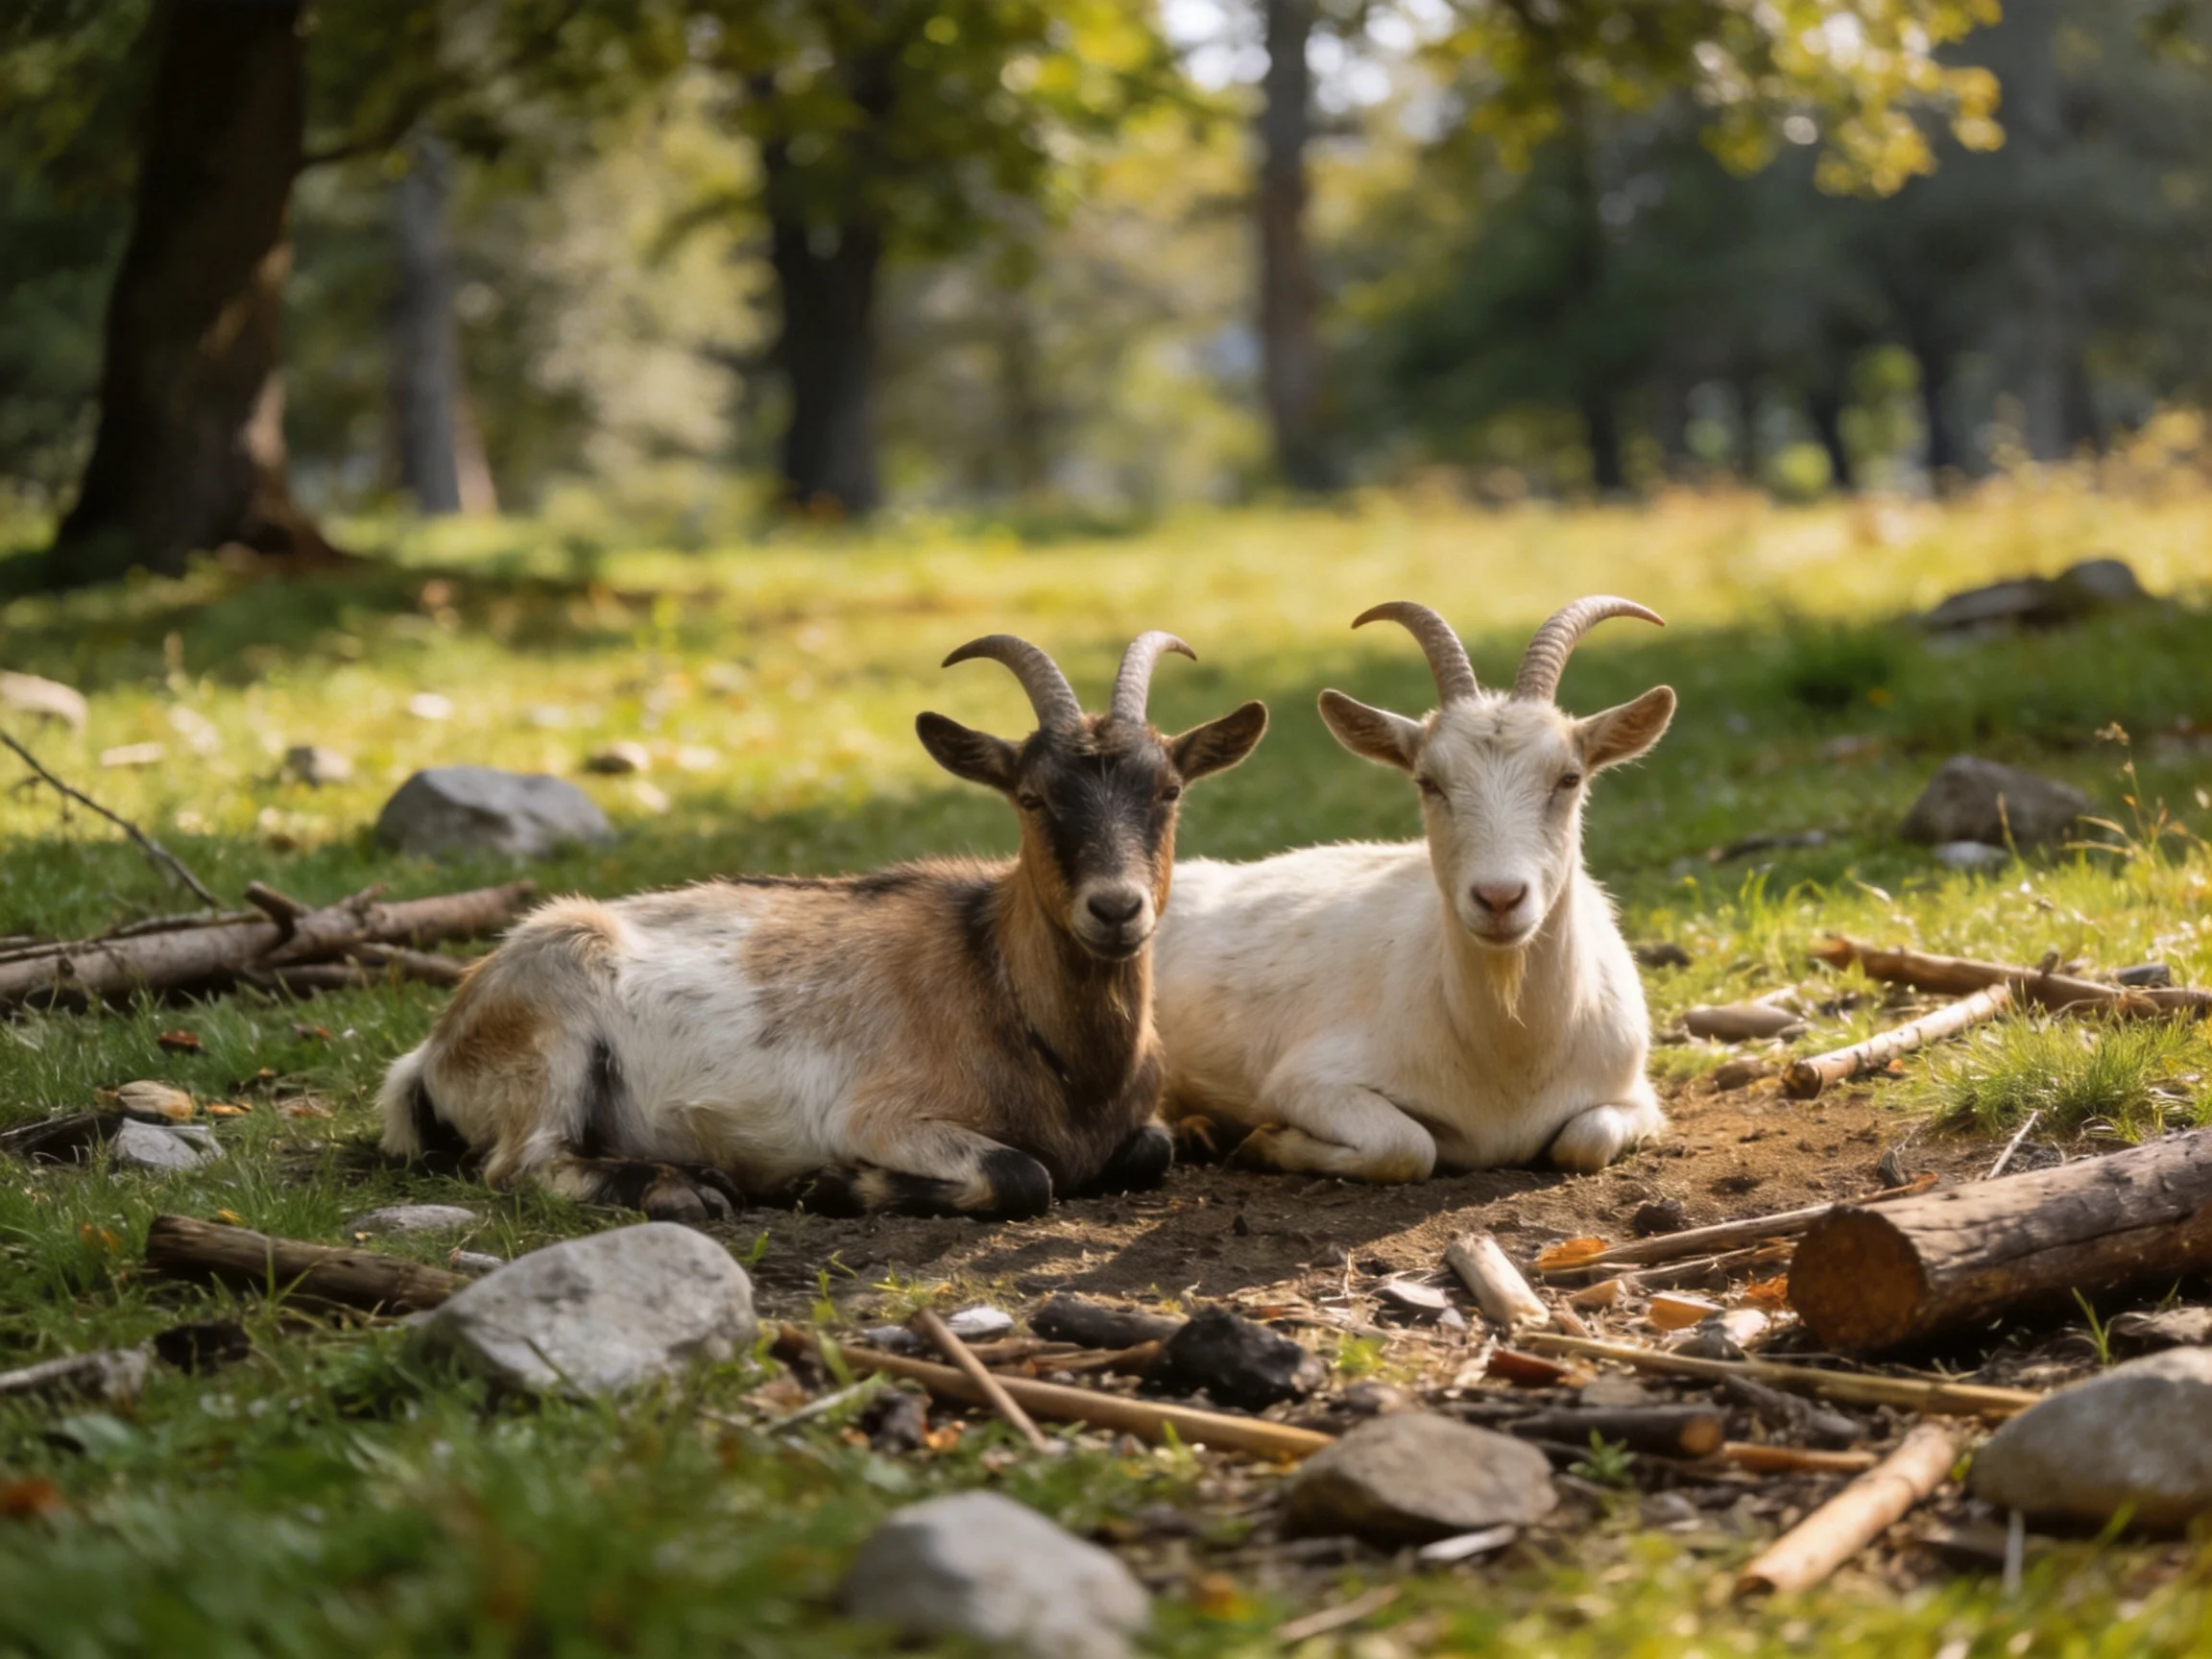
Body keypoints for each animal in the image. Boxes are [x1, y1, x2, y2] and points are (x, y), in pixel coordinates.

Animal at [379, 632, 1268, 1221]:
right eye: (1031, 795)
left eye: (1169, 791)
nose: (1116, 908)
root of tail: (433, 1050)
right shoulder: (878, 1114)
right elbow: (1025, 1176)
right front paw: (827, 1182)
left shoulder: (1138, 1128)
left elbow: (1152, 1151)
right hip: (551, 1022)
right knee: (521, 1163)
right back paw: (684, 1185)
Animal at [1153, 597, 1674, 1180]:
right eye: (1429, 782)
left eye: (1569, 778)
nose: (1499, 899)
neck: (1511, 1065)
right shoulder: (1305, 1079)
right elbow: (1405, 1147)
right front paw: (1263, 1142)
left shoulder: (1635, 1093)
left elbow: (1585, 1141)